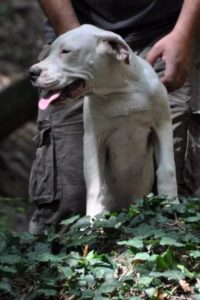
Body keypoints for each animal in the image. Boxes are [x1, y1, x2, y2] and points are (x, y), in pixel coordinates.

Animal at [29, 23, 177, 216]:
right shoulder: (93, 138)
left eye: (66, 51)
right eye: (50, 51)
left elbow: (167, 170)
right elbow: (94, 183)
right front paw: (93, 218)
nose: (32, 72)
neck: (120, 92)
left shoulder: (162, 126)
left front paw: (171, 205)